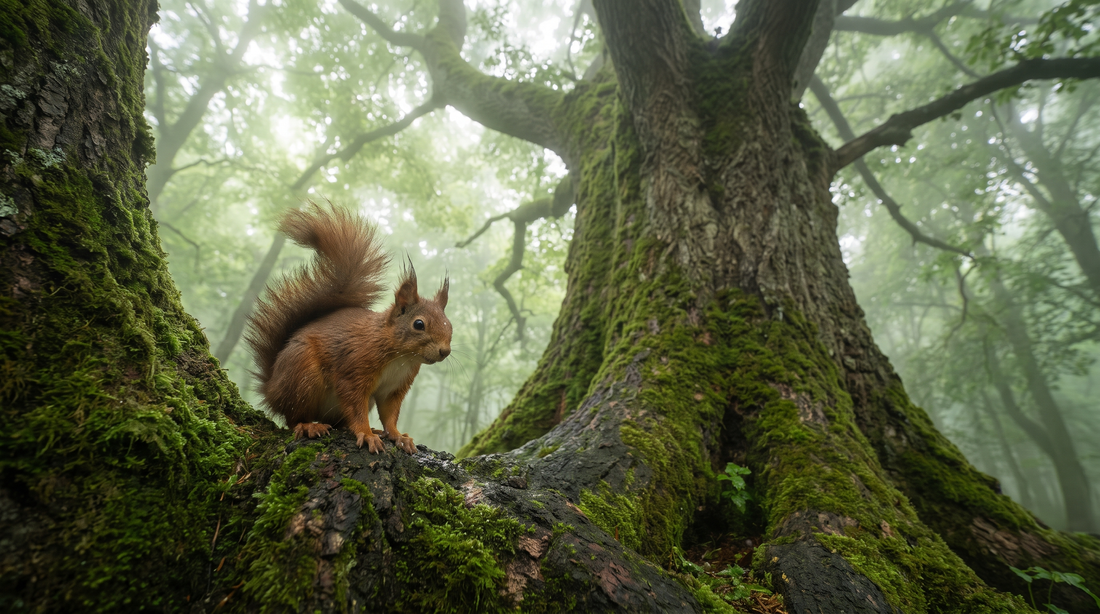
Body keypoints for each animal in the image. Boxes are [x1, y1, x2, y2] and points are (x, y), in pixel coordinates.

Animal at [245, 202, 451, 454]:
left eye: (449, 324)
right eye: (419, 324)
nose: (445, 351)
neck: (400, 357)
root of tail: (271, 388)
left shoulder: (394, 388)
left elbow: (390, 414)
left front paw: (397, 435)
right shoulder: (355, 368)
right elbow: (355, 406)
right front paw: (366, 434)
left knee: (337, 422)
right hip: (302, 375)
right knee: (293, 416)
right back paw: (309, 426)